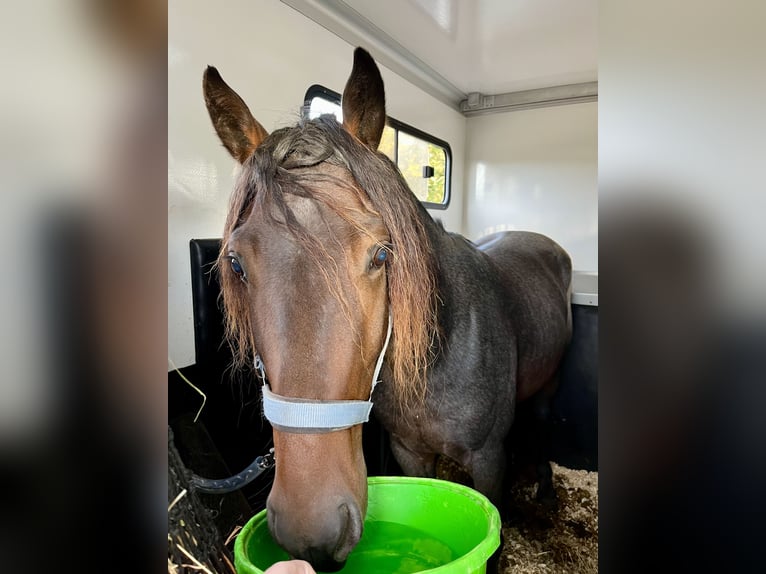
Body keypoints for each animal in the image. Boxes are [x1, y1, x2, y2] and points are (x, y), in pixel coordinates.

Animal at [203, 47, 572, 571]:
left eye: (380, 255)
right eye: (235, 262)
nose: (311, 526)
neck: (441, 357)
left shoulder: (488, 460)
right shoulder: (410, 452)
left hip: (550, 382)